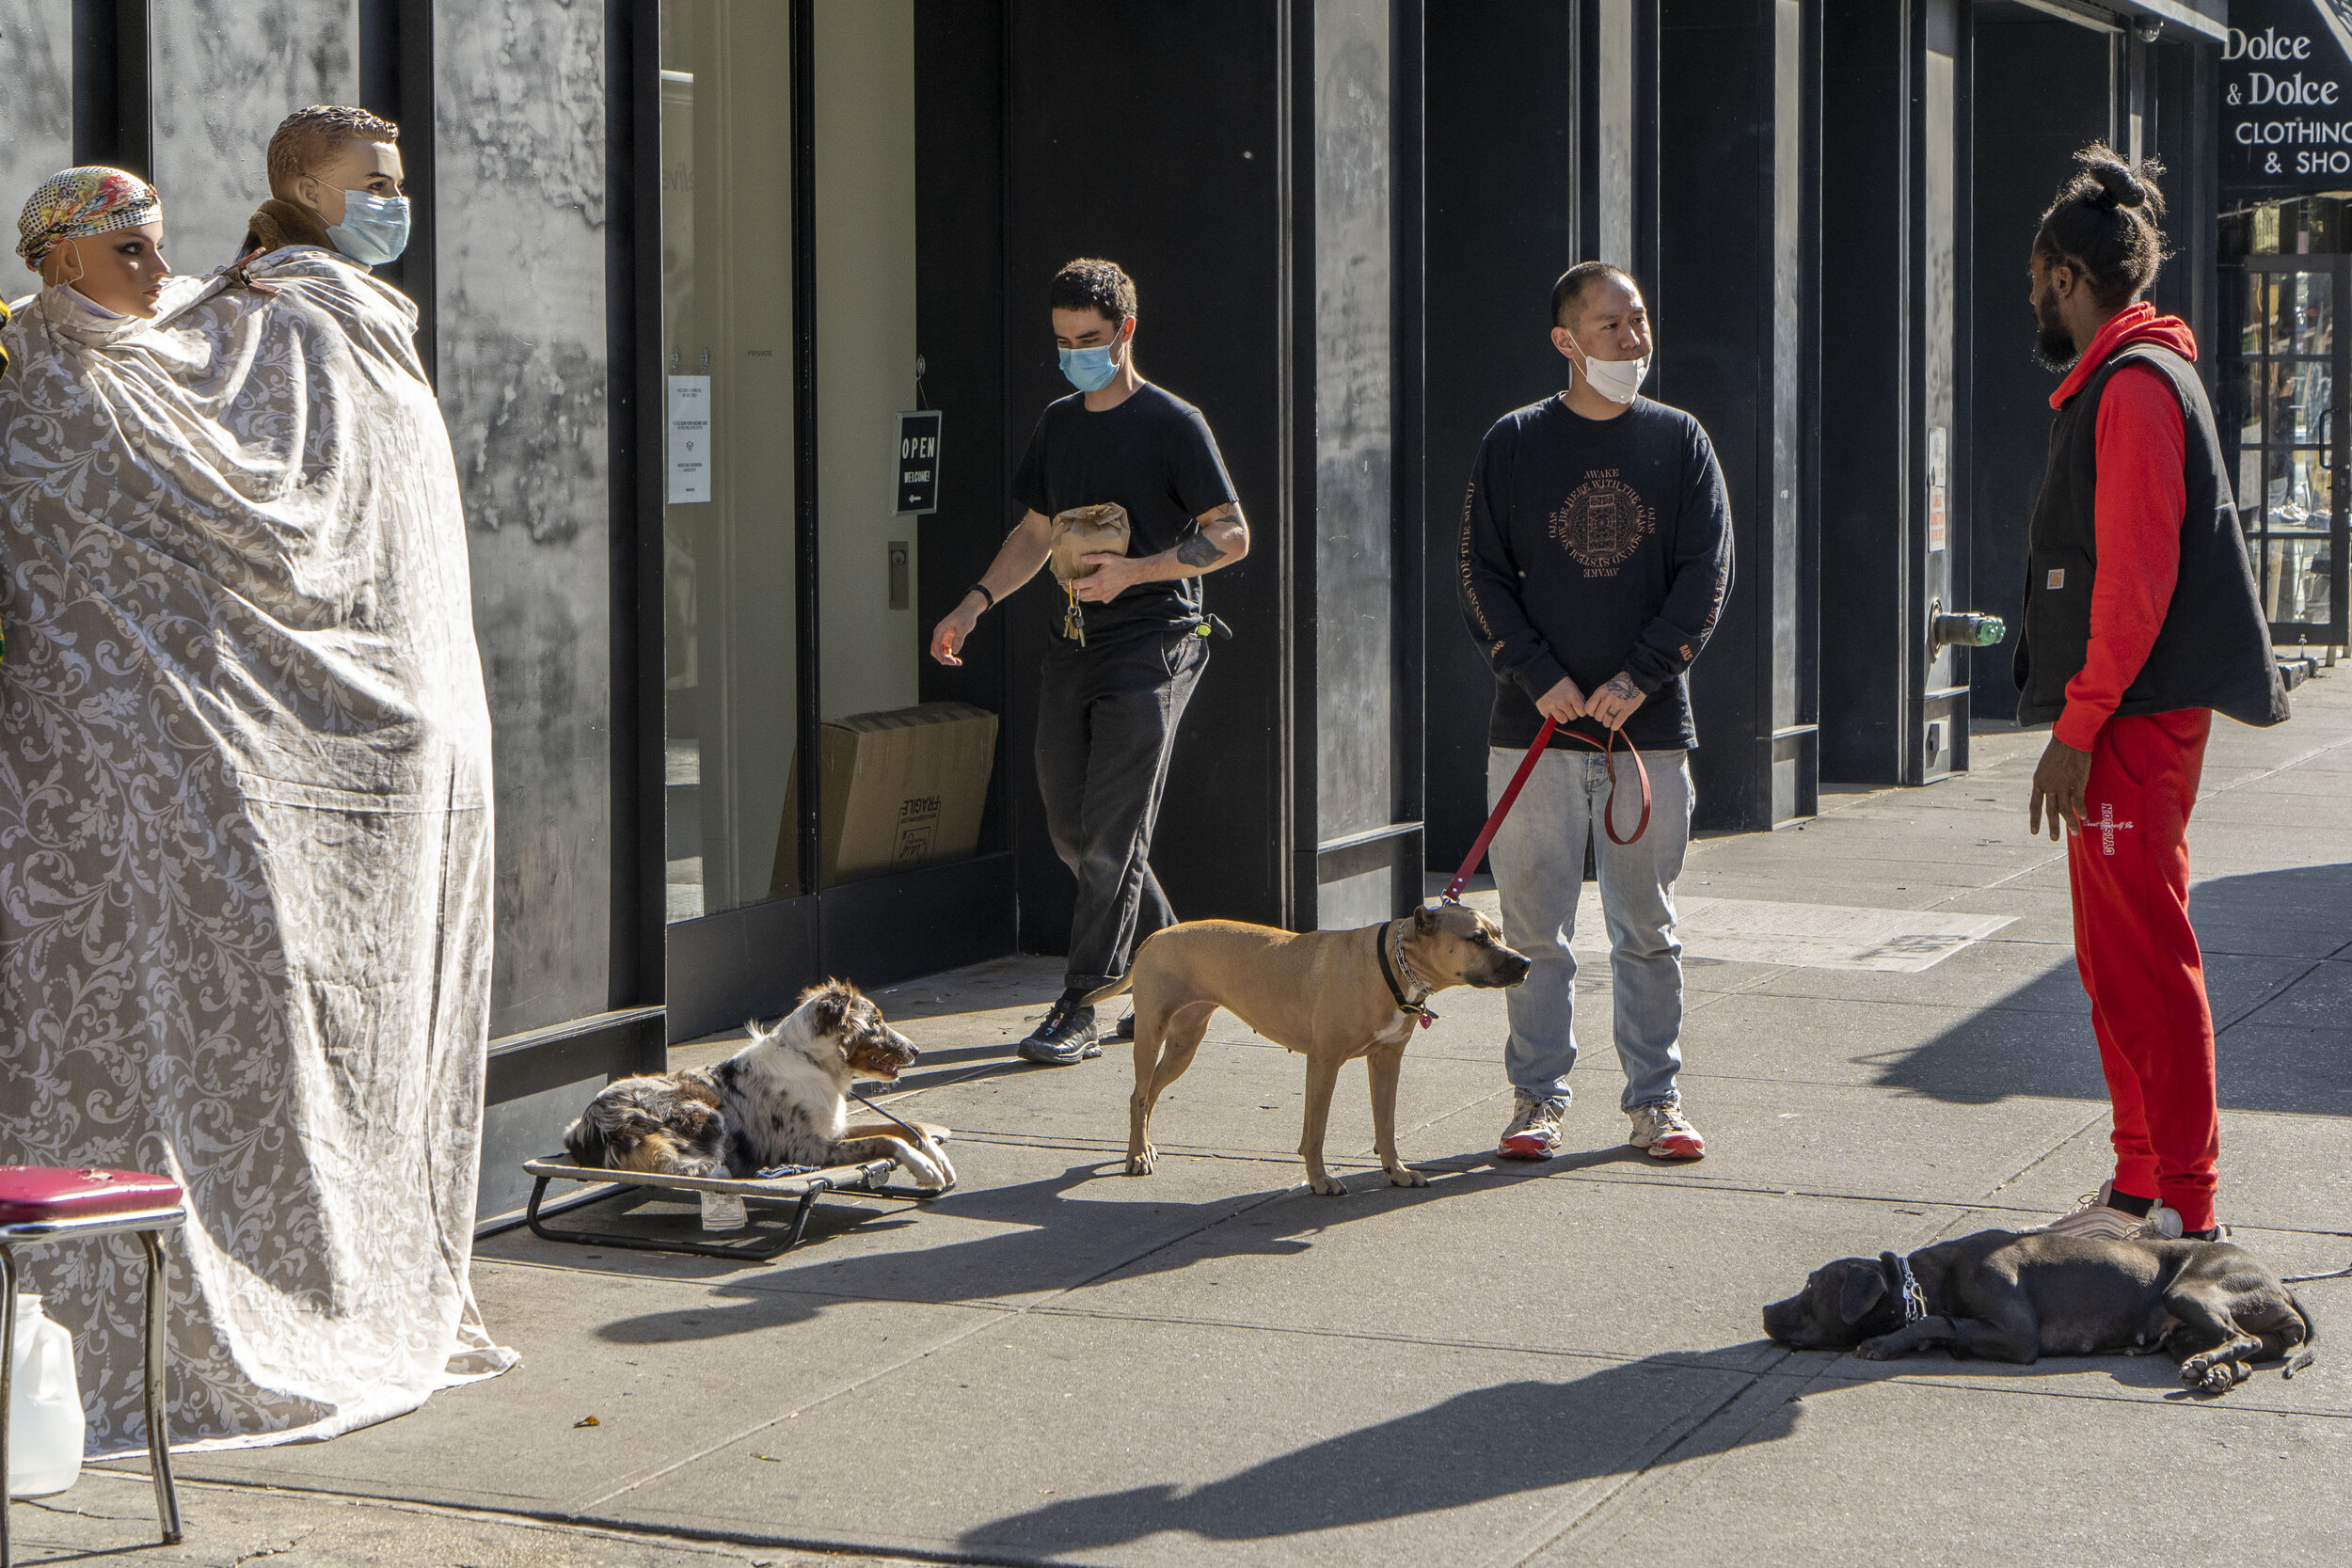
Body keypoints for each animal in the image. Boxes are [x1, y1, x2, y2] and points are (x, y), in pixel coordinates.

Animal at [562, 982, 955, 1189]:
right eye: (876, 1022)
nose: (916, 1051)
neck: (809, 1061)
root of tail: (589, 1125)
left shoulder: (834, 1130)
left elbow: (910, 1128)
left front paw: (937, 1158)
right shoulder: (810, 1149)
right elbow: (888, 1139)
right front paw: (926, 1168)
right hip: (702, 1110)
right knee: (694, 1169)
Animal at [1077, 902, 1534, 1194]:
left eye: (1499, 934)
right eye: (1478, 938)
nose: (1525, 963)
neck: (1392, 964)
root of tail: (1155, 935)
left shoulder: (1387, 1061)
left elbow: (1385, 1124)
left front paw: (1396, 1169)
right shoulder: (1324, 1062)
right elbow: (1316, 1131)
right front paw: (1319, 1180)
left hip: (1184, 1043)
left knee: (1149, 1094)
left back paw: (1145, 1145)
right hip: (1151, 1034)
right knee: (1139, 1094)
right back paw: (1136, 1155)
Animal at [1769, 1222, 2314, 1401]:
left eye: (1811, 1285)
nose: (1765, 1308)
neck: (1924, 1282)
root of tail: (2279, 1285)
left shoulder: (2017, 1335)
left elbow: (1940, 1321)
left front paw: (1885, 1344)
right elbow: (1941, 1324)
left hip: (2189, 1292)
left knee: (2241, 1338)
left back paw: (2209, 1368)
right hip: (2184, 1329)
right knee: (2244, 1352)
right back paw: (2215, 1372)